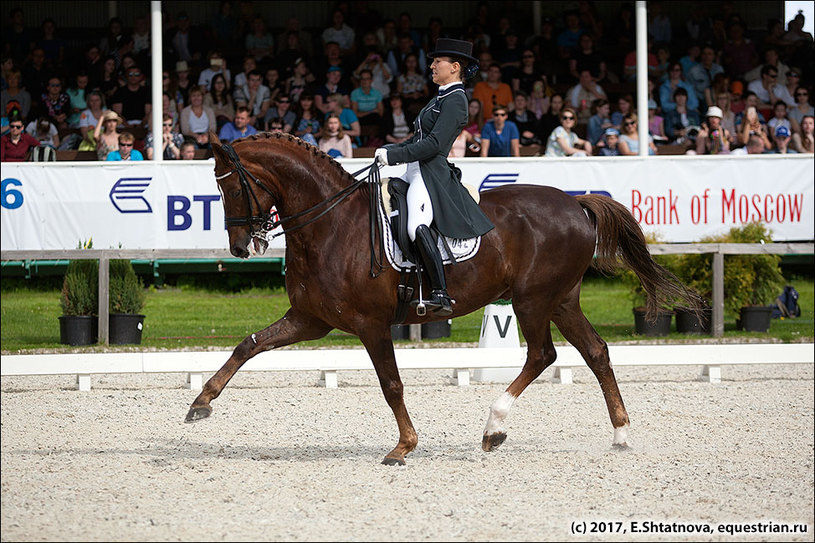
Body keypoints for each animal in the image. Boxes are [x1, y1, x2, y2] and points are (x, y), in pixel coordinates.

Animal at [186, 133, 700, 468]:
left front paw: (403, 447)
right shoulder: (310, 319)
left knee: (542, 354)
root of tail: (577, 202)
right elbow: (248, 345)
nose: (240, 247)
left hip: (533, 299)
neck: (331, 224)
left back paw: (494, 428)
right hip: (561, 300)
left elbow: (391, 384)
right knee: (595, 352)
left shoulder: (370, 324)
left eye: (231, 186)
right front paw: (201, 403)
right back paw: (621, 435)